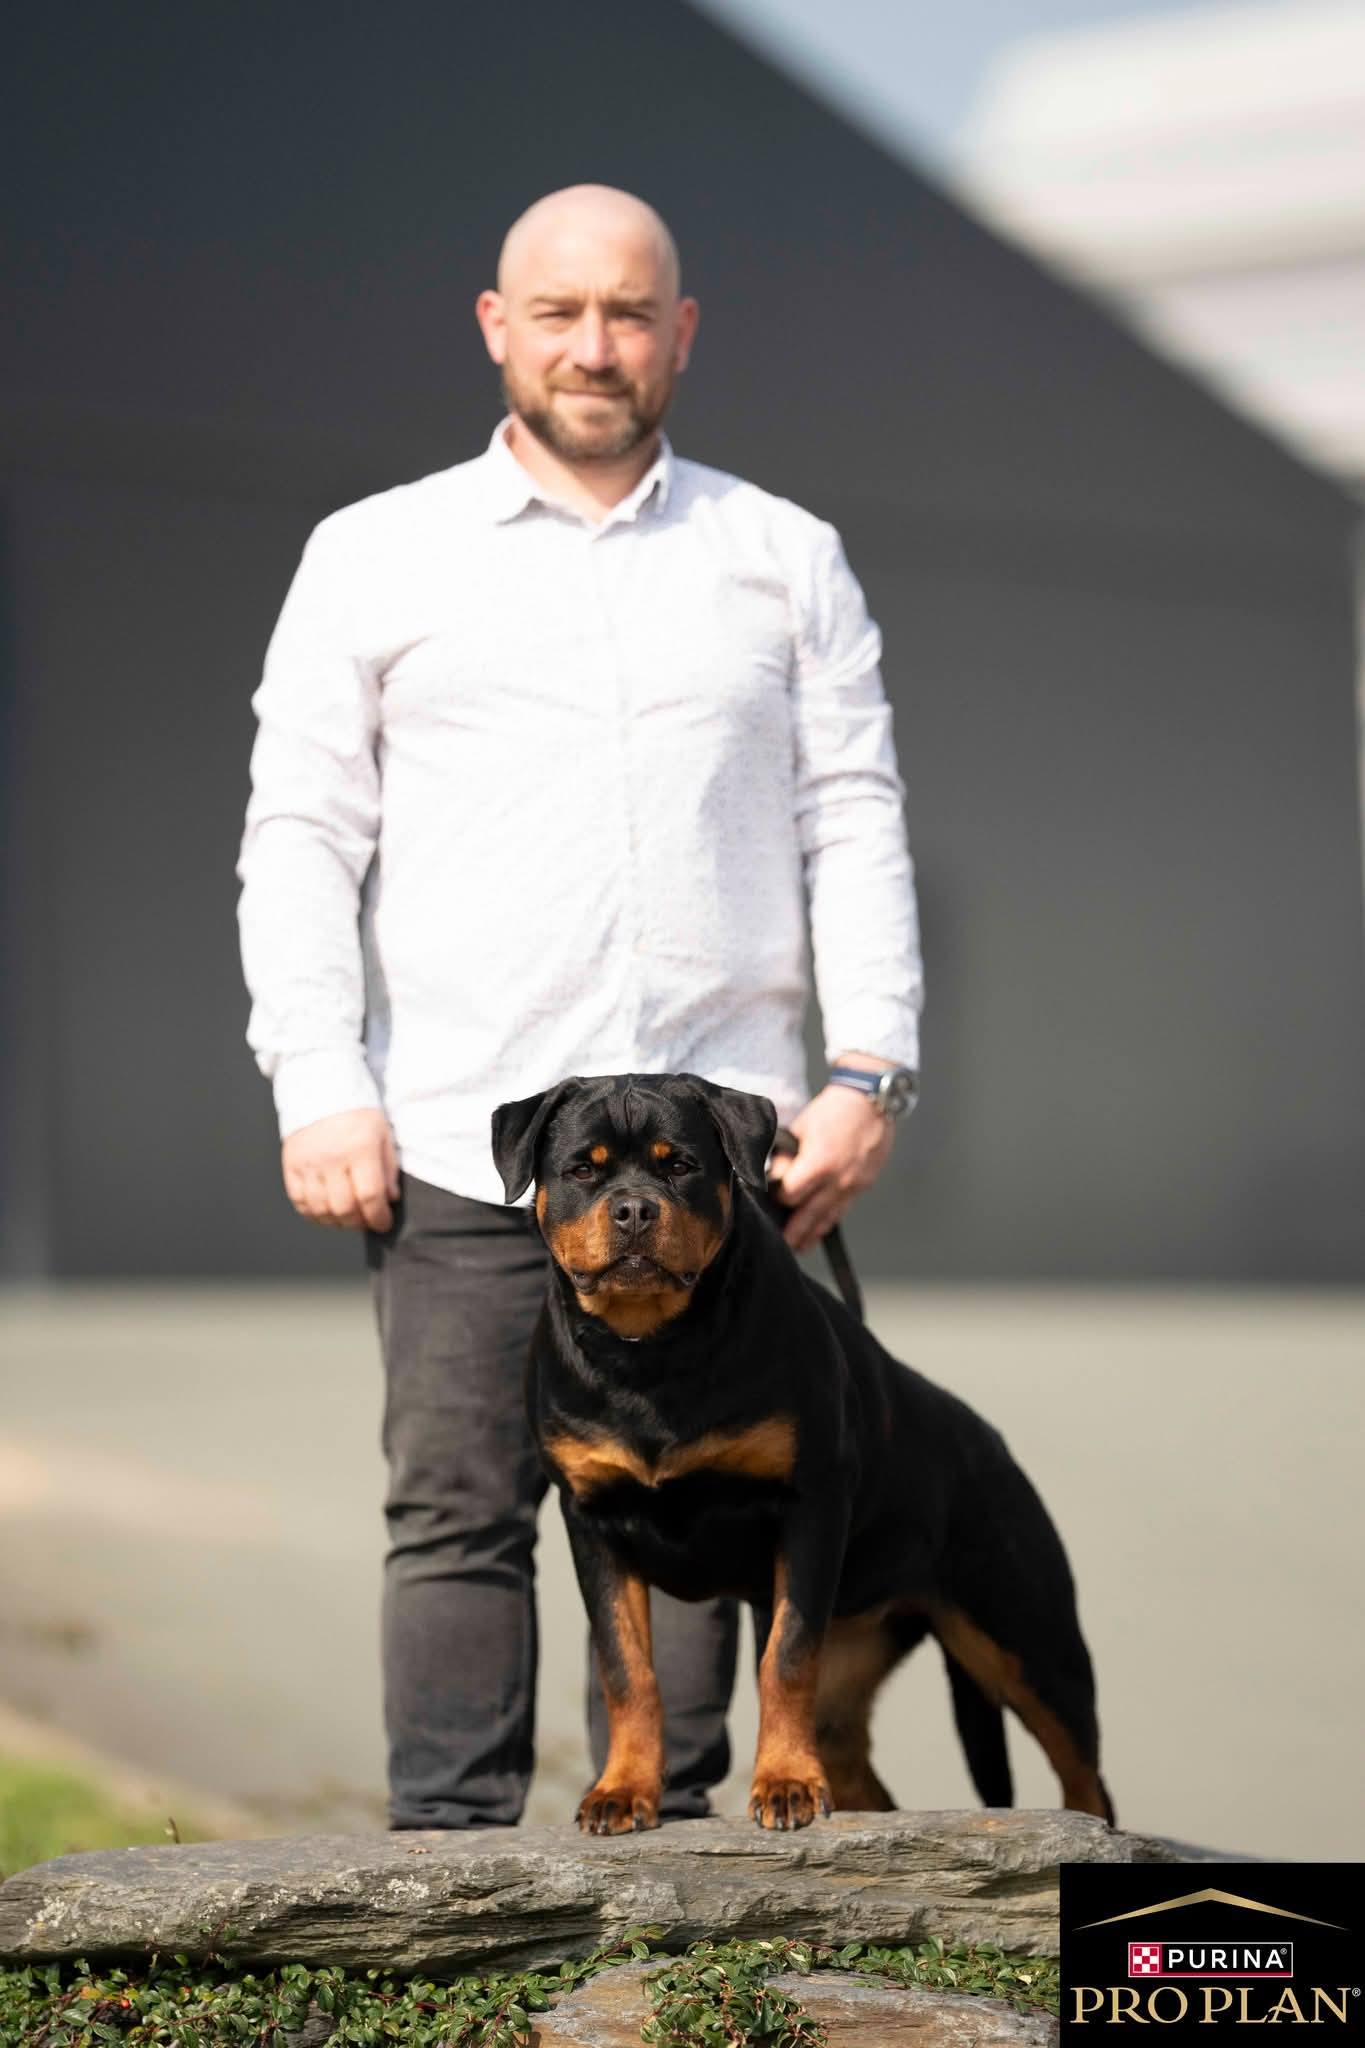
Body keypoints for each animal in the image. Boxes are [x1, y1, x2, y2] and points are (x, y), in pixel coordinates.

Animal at [492, 1071, 1113, 1834]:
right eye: (583, 1169)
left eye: (680, 1165)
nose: (635, 1209)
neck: (652, 1351)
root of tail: (987, 1441)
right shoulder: (593, 1521)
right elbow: (626, 1668)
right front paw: (622, 1789)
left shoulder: (809, 1506)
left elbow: (783, 1657)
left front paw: (785, 1781)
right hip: (858, 1651)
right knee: (857, 1766)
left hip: (1027, 1638)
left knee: (1083, 1773)